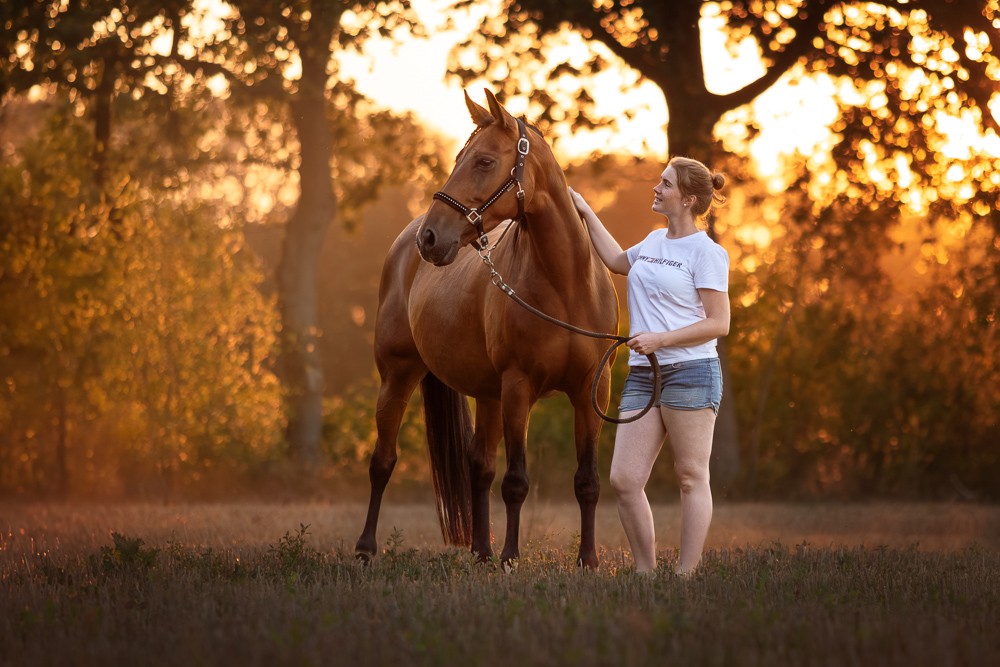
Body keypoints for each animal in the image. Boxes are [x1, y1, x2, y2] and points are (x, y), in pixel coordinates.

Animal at [354, 89, 619, 568]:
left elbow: (587, 481)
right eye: (460, 158)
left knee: (478, 466)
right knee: (383, 461)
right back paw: (366, 548)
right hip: (399, 377)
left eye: (483, 161)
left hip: (488, 394)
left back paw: (481, 550)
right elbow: (515, 481)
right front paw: (511, 557)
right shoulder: (518, 387)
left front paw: (588, 561)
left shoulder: (592, 390)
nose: (430, 238)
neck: (567, 286)